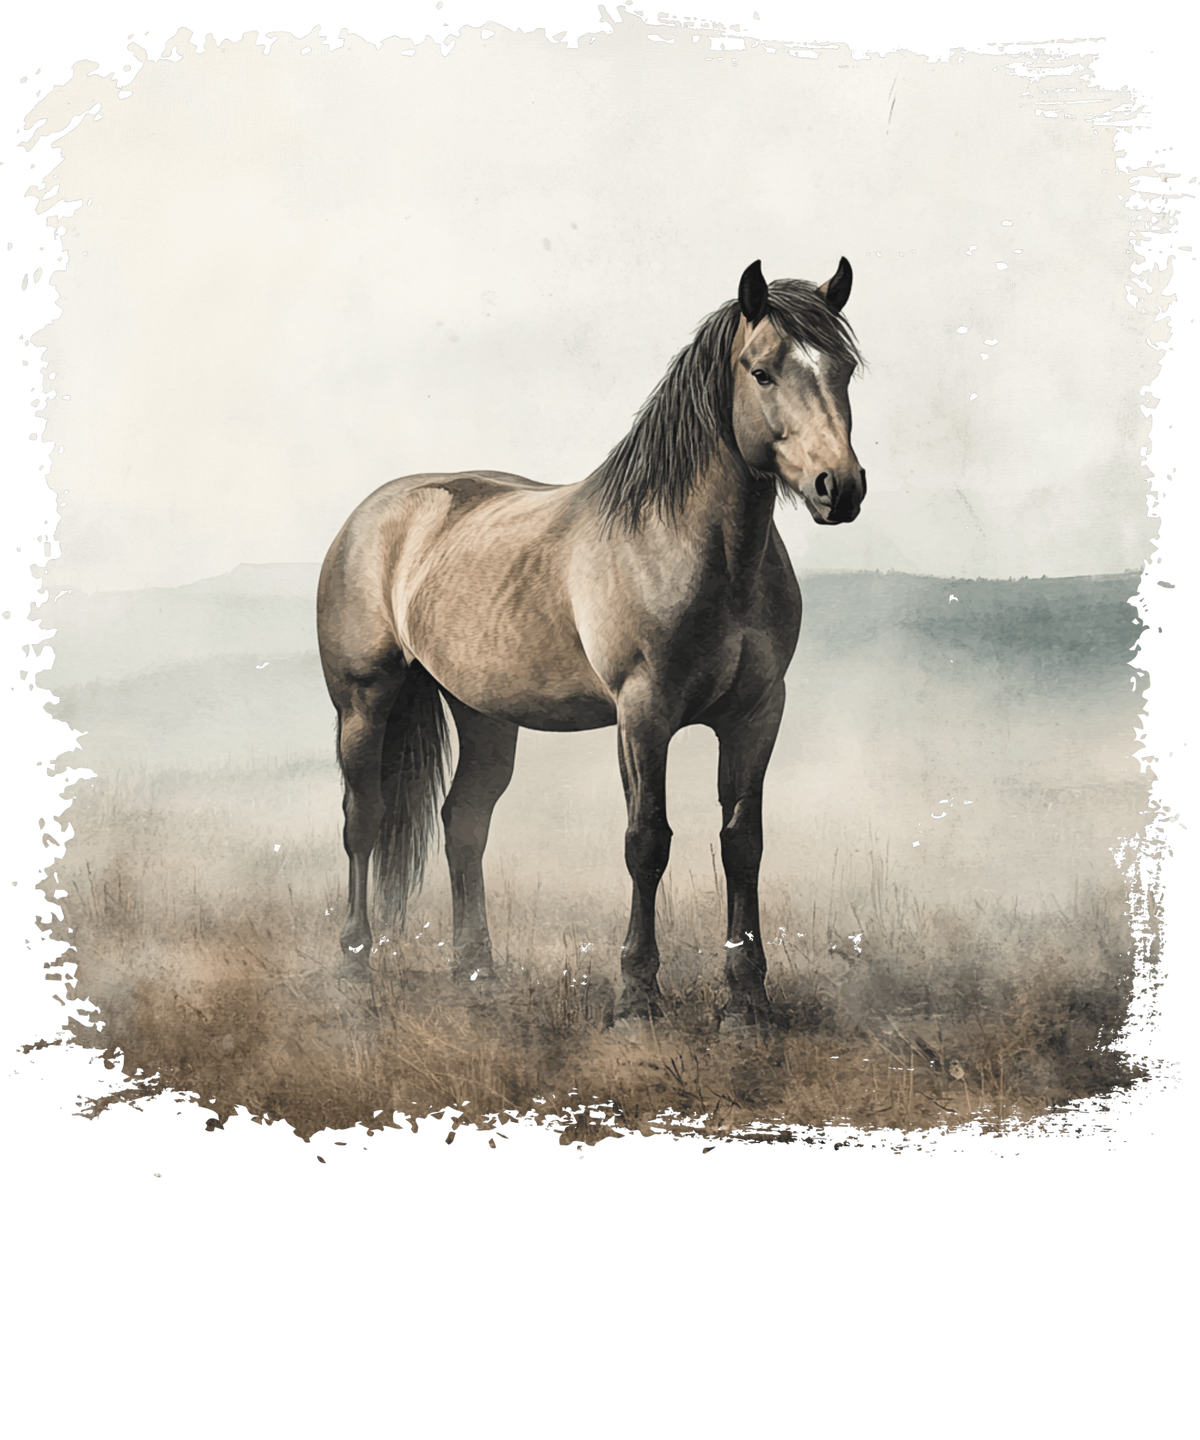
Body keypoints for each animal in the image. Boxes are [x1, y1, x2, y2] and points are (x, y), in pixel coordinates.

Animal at [317, 258, 866, 1029]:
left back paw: (477, 974)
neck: (698, 552)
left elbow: (742, 843)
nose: (838, 488)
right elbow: (647, 841)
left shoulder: (757, 713)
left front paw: (747, 1003)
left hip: (484, 713)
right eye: (761, 372)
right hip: (363, 703)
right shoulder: (643, 713)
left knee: (464, 822)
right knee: (362, 821)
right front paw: (637, 998)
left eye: (844, 369)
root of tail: (375, 512)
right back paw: (351, 972)